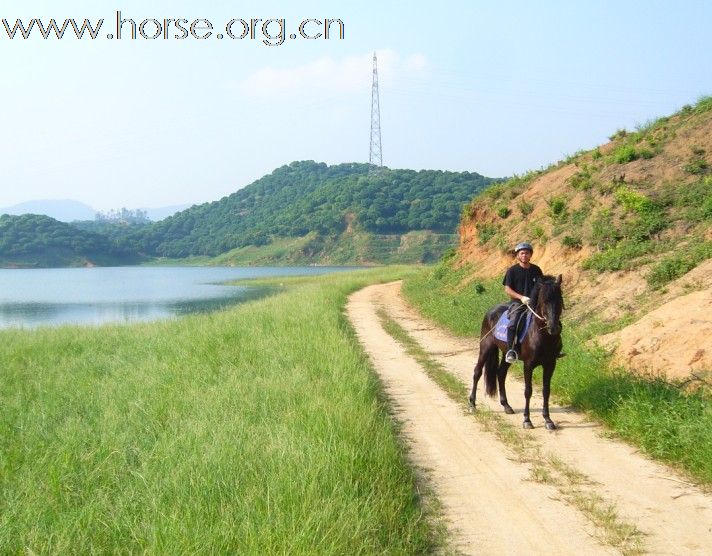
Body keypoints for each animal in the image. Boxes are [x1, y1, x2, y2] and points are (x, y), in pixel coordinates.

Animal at [470, 274, 564, 430]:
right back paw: (472, 404)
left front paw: (548, 420)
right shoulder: (528, 364)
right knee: (477, 372)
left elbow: (546, 390)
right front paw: (527, 420)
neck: (541, 335)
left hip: (506, 353)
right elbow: (528, 391)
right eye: (544, 300)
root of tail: (491, 310)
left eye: (560, 299)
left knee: (500, 373)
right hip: (485, 347)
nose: (553, 328)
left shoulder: (550, 364)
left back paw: (506, 405)